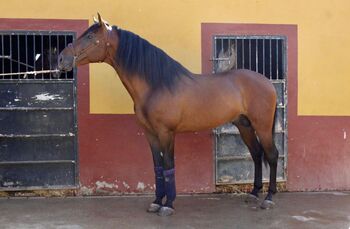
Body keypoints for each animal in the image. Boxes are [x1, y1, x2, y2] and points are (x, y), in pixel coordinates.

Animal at [58, 14, 280, 216]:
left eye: (90, 36)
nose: (61, 58)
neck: (156, 85)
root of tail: (268, 83)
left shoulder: (166, 133)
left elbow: (168, 166)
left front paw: (168, 205)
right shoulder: (150, 134)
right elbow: (157, 167)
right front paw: (157, 202)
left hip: (262, 126)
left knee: (272, 155)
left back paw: (268, 198)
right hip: (244, 126)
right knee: (257, 154)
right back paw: (254, 193)